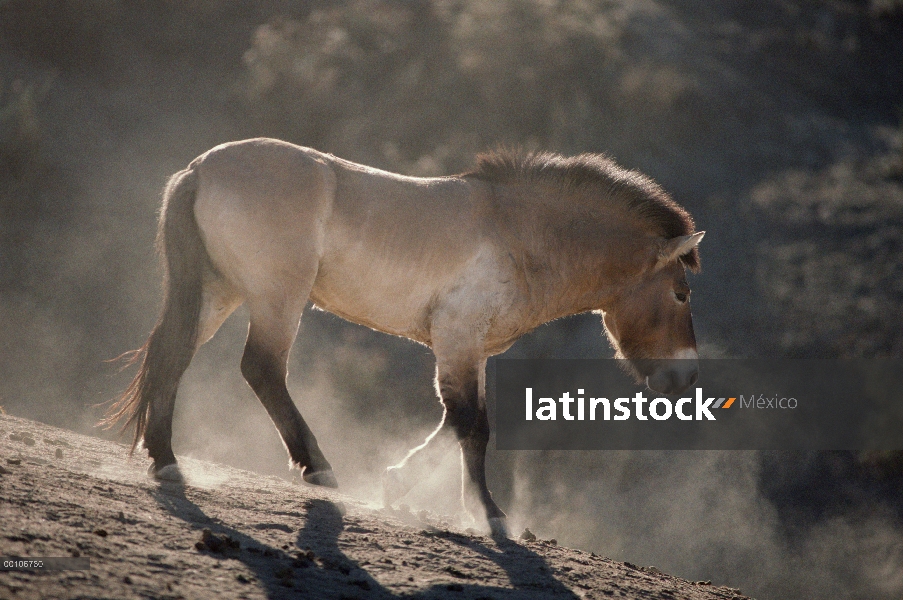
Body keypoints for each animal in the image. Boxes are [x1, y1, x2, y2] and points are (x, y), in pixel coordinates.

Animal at [102, 137, 704, 540]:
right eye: (680, 293)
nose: (686, 374)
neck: (520, 233)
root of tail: (201, 168)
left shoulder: (470, 349)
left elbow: (465, 423)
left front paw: (438, 496)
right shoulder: (456, 339)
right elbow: (469, 424)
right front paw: (487, 513)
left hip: (217, 292)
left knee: (173, 356)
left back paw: (166, 460)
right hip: (277, 300)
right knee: (261, 369)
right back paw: (319, 468)